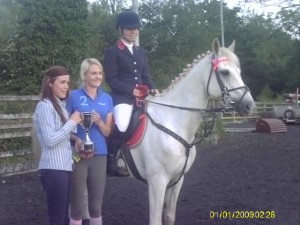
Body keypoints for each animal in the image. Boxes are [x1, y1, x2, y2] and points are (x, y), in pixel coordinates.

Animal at [122, 38, 255, 225]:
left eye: (239, 71)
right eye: (225, 72)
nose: (250, 105)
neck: (172, 120)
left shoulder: (176, 180)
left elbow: (169, 216)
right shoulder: (157, 181)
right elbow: (155, 220)